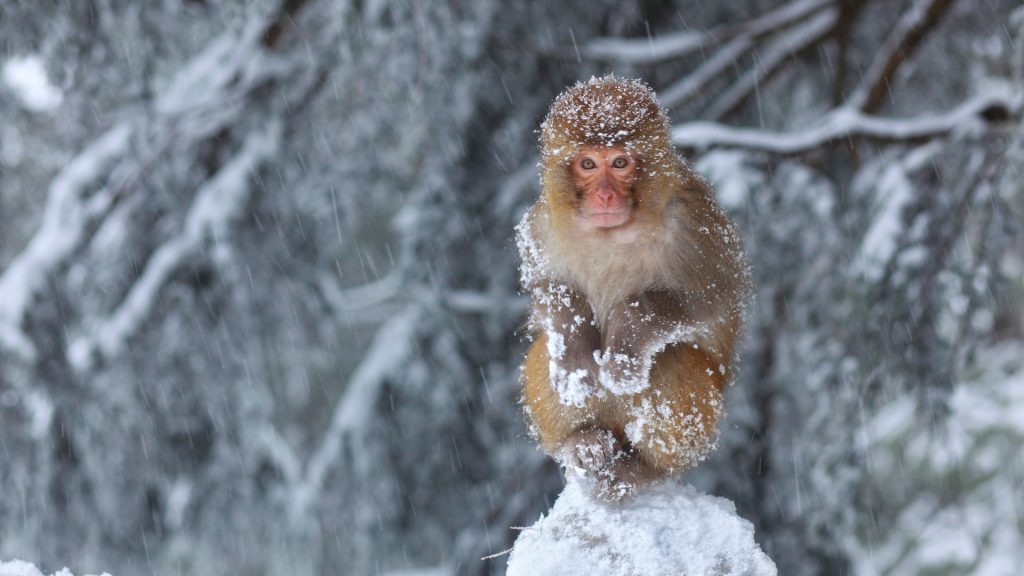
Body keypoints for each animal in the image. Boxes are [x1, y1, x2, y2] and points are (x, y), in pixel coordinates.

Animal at [520, 75, 753, 498]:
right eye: (588, 163)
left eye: (620, 162)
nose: (605, 194)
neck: (613, 233)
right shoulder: (542, 225)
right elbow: (547, 290)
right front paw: (575, 350)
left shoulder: (696, 223)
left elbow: (714, 297)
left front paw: (627, 333)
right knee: (546, 348)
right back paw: (580, 442)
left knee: (671, 358)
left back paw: (644, 470)